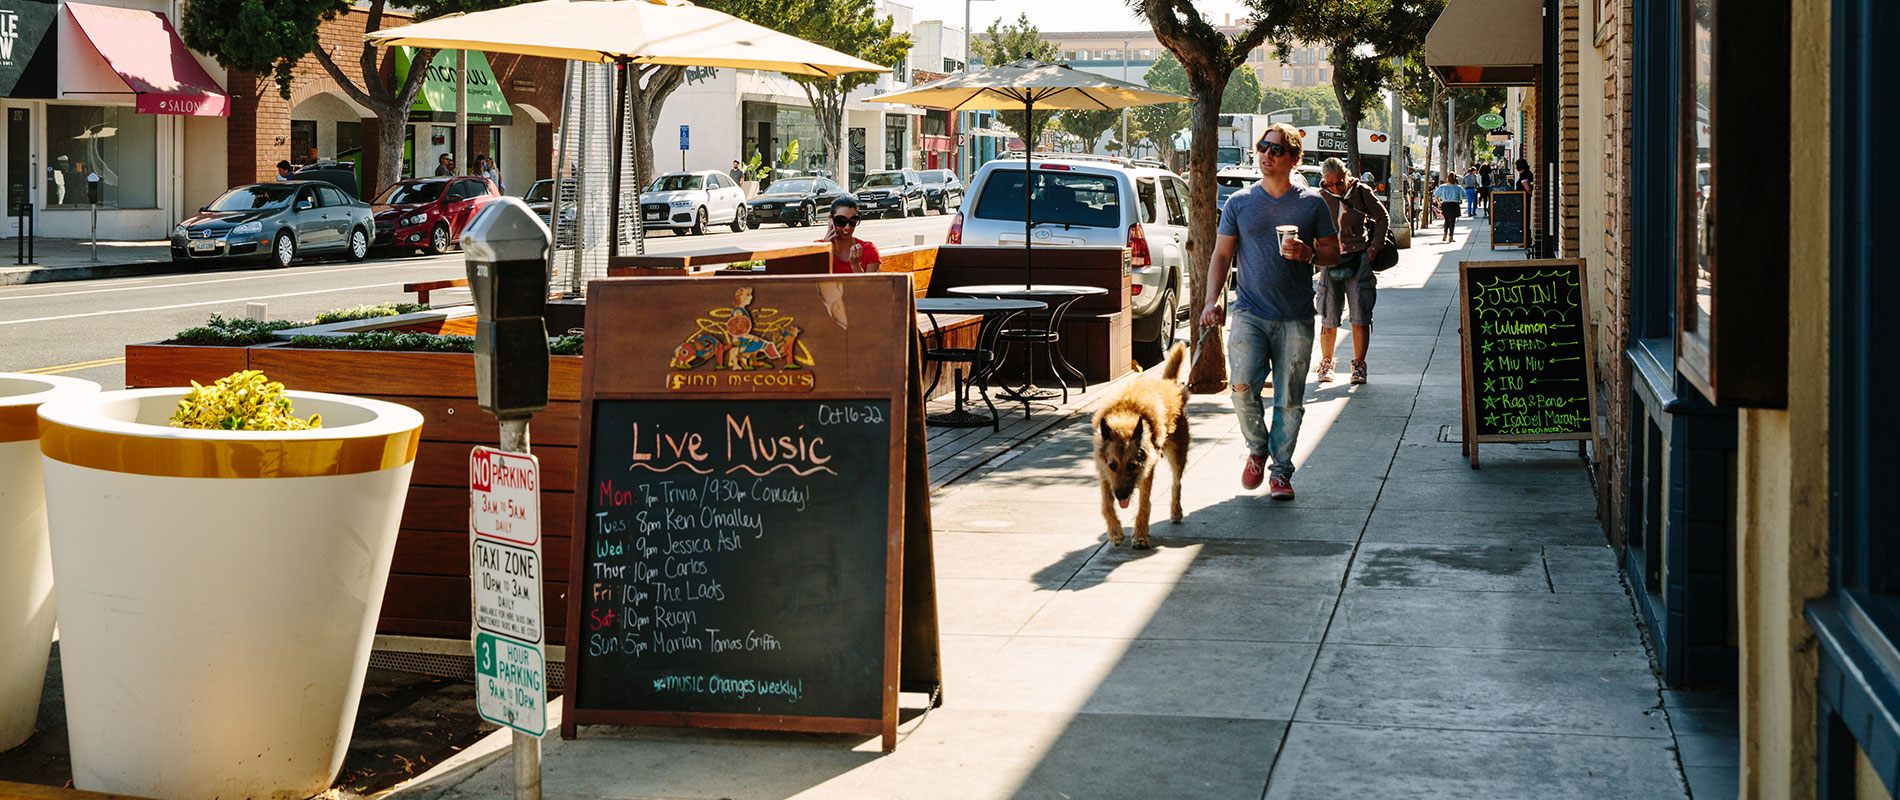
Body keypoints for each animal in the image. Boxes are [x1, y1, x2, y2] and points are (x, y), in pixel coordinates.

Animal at [1102, 340, 1185, 547]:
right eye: (1112, 465)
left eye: (1132, 465)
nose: (1121, 496)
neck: (1125, 419)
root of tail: (1168, 385)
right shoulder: (1103, 472)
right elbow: (1106, 504)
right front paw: (1115, 532)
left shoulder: (1147, 470)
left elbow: (1144, 504)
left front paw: (1140, 536)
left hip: (1177, 455)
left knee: (1176, 484)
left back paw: (1176, 511)